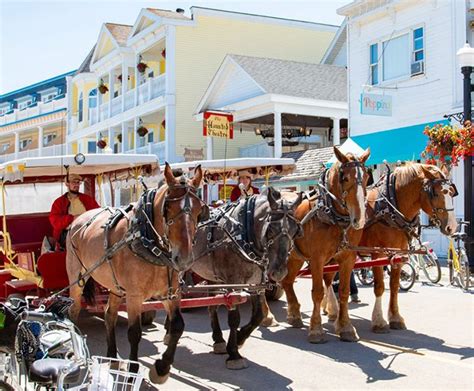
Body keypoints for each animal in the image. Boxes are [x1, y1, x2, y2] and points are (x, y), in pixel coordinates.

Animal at [64, 163, 204, 386]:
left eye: (200, 209)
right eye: (168, 208)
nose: (183, 258)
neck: (148, 241)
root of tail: (78, 220)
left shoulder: (171, 293)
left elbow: (177, 326)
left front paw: (162, 368)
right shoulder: (134, 296)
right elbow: (134, 332)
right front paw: (133, 370)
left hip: (114, 285)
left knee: (109, 315)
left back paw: (112, 356)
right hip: (77, 278)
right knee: (74, 310)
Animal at [186, 188, 304, 370]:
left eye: (295, 231)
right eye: (270, 229)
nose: (278, 272)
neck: (243, 232)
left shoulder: (256, 283)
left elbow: (259, 315)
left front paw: (240, 339)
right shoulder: (233, 283)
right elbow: (234, 318)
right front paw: (234, 353)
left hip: (212, 276)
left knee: (212, 306)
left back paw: (218, 340)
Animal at [262, 147, 370, 344]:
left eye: (367, 177)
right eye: (345, 178)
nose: (359, 219)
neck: (332, 215)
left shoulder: (348, 258)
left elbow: (343, 291)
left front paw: (346, 328)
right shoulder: (317, 258)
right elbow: (318, 292)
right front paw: (316, 330)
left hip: (294, 257)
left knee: (287, 281)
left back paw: (294, 315)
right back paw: (267, 316)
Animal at [324, 163, 458, 334]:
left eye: (452, 192)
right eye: (434, 194)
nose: (452, 227)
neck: (390, 209)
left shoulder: (398, 254)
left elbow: (394, 286)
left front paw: (395, 318)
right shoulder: (378, 254)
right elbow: (379, 287)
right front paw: (379, 321)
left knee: (326, 277)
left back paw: (328, 309)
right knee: (327, 278)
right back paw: (333, 310)